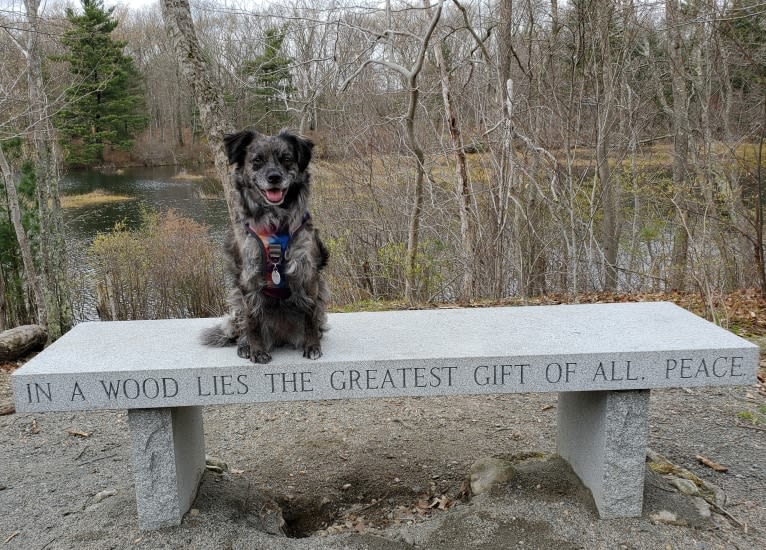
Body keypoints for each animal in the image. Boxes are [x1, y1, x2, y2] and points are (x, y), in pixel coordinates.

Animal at [200, 127, 328, 364]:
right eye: (257, 160)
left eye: (286, 159)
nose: (274, 177)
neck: (276, 223)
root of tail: (282, 337)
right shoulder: (249, 277)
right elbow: (252, 321)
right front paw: (257, 351)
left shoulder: (306, 273)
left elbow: (310, 316)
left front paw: (312, 345)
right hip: (236, 299)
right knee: (242, 326)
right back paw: (245, 345)